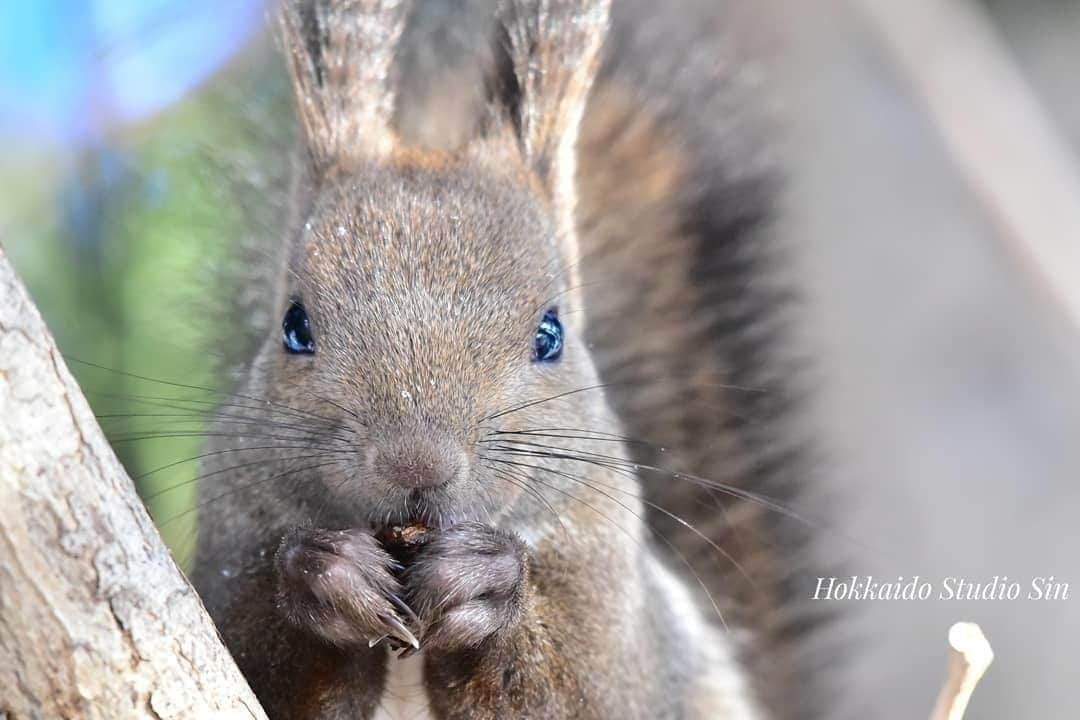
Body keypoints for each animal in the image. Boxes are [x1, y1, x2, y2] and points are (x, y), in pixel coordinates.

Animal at [194, 1, 816, 720]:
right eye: (294, 327)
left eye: (551, 334)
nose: (415, 465)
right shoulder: (229, 533)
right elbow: (244, 656)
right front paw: (325, 575)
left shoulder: (614, 585)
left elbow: (592, 693)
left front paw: (486, 582)